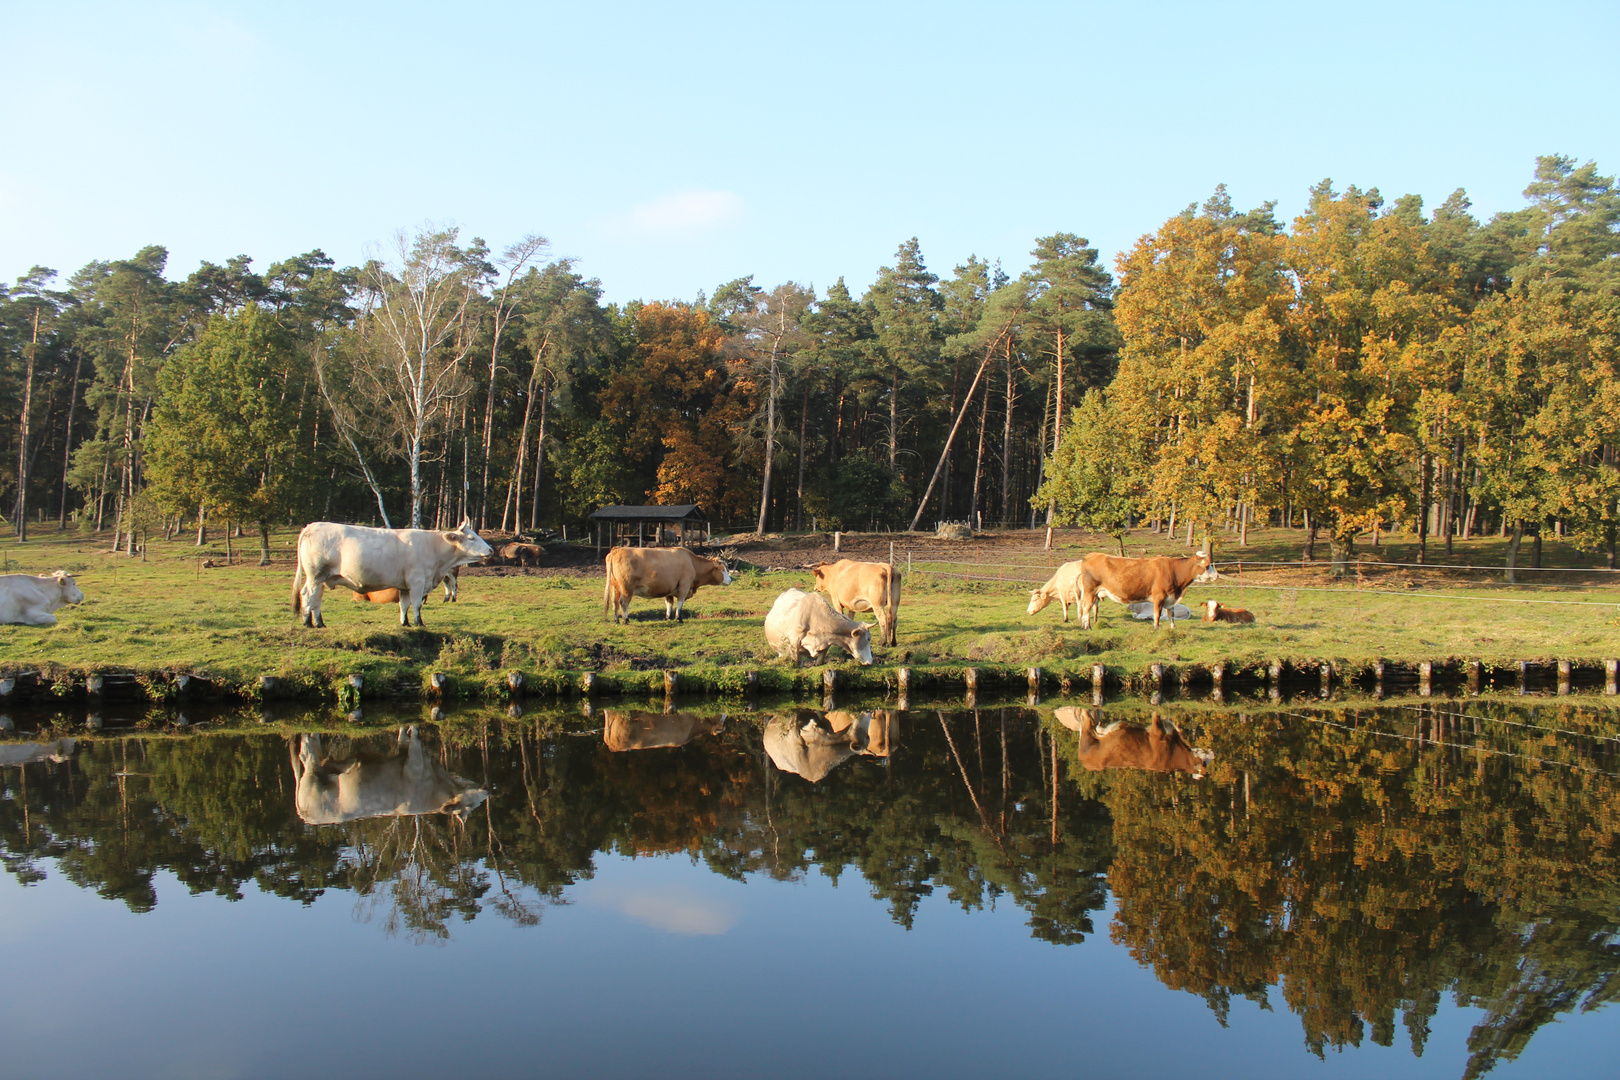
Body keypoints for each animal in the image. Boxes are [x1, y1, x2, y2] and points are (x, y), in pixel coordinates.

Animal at [293, 518, 489, 628]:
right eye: (472, 537)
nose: (491, 549)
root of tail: (311, 526)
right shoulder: (417, 582)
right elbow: (416, 604)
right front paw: (419, 623)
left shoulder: (404, 586)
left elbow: (404, 605)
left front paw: (405, 623)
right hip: (315, 575)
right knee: (307, 595)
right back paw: (307, 623)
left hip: (322, 578)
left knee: (316, 599)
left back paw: (319, 623)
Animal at [1056, 705, 1211, 780]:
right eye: (1205, 762)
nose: (1211, 751)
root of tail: (1085, 762)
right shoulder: (1156, 732)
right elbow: (1157, 714)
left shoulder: (1167, 728)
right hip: (1087, 738)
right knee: (1085, 720)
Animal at [1075, 553, 1218, 628]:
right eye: (1207, 565)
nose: (1217, 576)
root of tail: (1092, 555)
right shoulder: (1159, 597)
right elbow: (1157, 615)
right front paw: (1156, 628)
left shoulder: (1170, 599)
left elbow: (1171, 616)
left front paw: (1172, 629)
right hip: (1090, 592)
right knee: (1086, 608)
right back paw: (1087, 627)